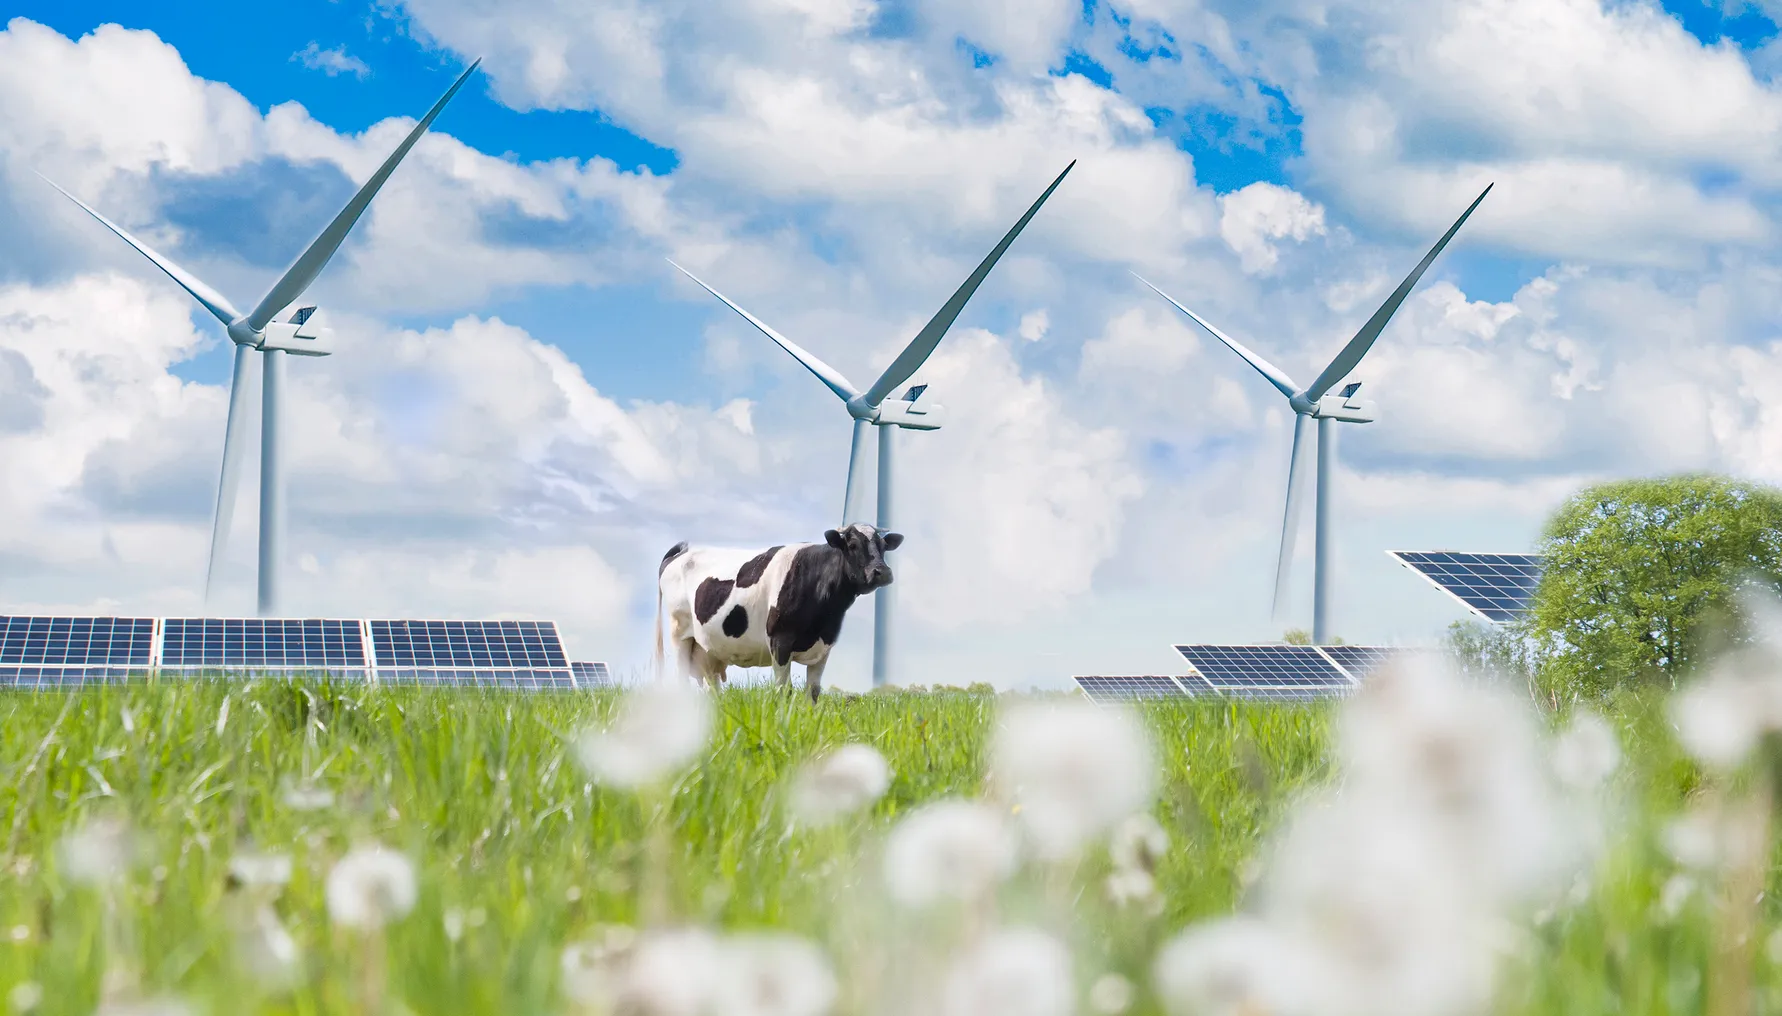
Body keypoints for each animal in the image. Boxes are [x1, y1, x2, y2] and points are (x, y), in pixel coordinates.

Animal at [655, 520, 905, 695]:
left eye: (883, 546)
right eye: (852, 545)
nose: (882, 572)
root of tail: (679, 555)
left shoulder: (824, 647)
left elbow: (813, 692)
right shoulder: (780, 642)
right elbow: (784, 690)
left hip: (708, 652)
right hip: (680, 635)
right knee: (681, 682)